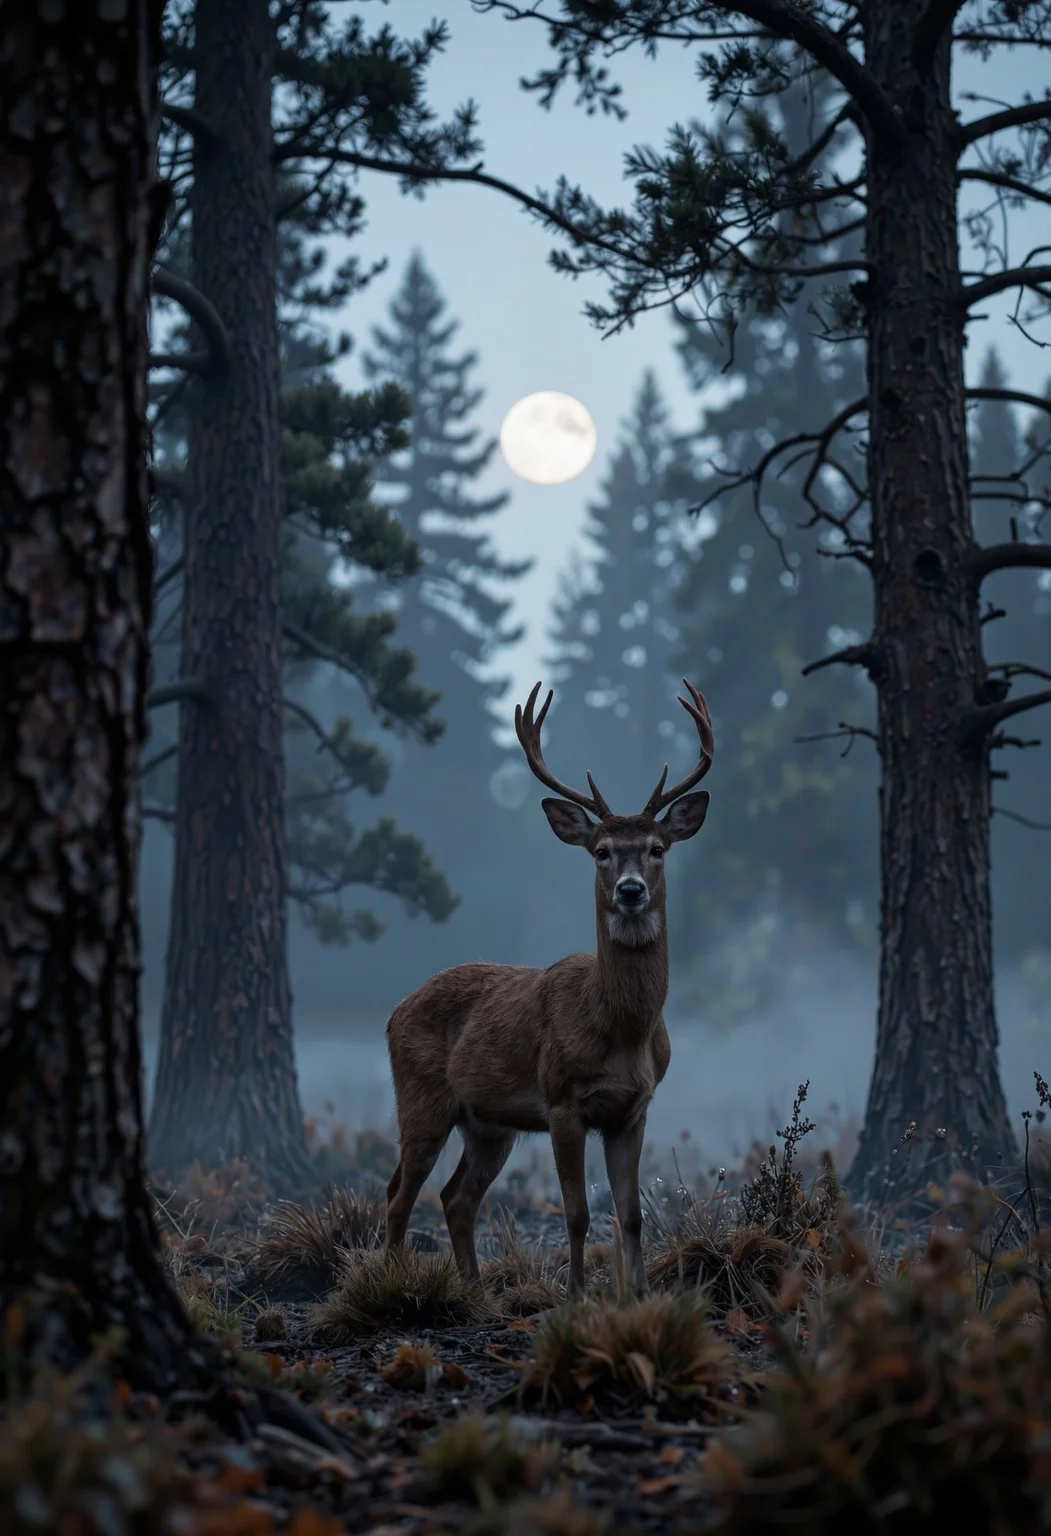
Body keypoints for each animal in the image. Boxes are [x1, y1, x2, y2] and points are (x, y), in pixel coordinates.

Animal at [384, 679, 714, 1295]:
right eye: (601, 851)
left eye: (657, 848)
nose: (630, 890)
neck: (621, 1029)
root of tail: (393, 1013)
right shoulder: (562, 1100)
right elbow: (577, 1213)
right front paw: (578, 1296)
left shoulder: (633, 1110)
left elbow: (631, 1214)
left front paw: (637, 1295)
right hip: (421, 1099)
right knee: (399, 1195)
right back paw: (389, 1287)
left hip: (488, 1125)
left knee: (455, 1198)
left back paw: (474, 1292)